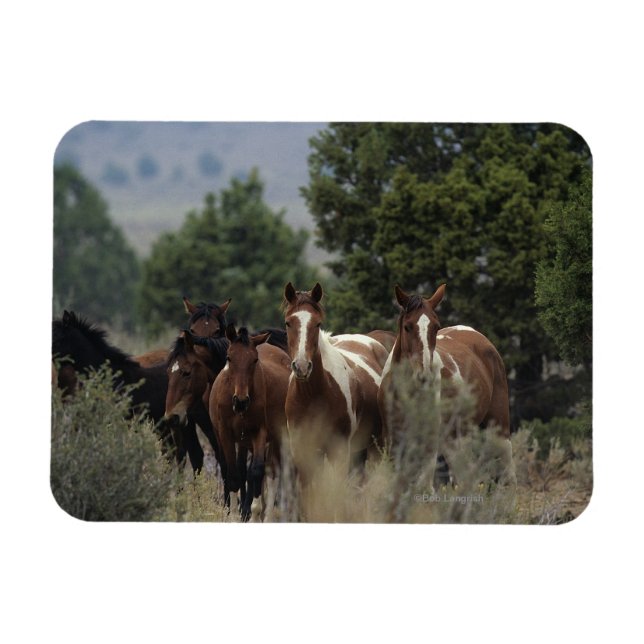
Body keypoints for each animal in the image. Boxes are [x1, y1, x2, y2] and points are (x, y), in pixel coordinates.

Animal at [209, 324, 291, 521]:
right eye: (229, 357)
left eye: (254, 360)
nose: (241, 401)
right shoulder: (226, 434)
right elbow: (233, 474)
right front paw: (233, 516)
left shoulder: (259, 432)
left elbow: (257, 471)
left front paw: (253, 513)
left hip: (277, 436)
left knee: (272, 472)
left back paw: (267, 517)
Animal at [282, 282, 390, 488]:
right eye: (288, 323)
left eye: (317, 323)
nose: (301, 366)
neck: (313, 395)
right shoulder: (304, 453)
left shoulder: (339, 452)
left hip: (375, 447)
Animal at [378, 283, 516, 489]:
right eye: (407, 327)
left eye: (436, 327)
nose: (424, 375)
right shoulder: (393, 440)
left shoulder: (429, 441)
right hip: (456, 440)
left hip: (498, 428)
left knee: (508, 473)